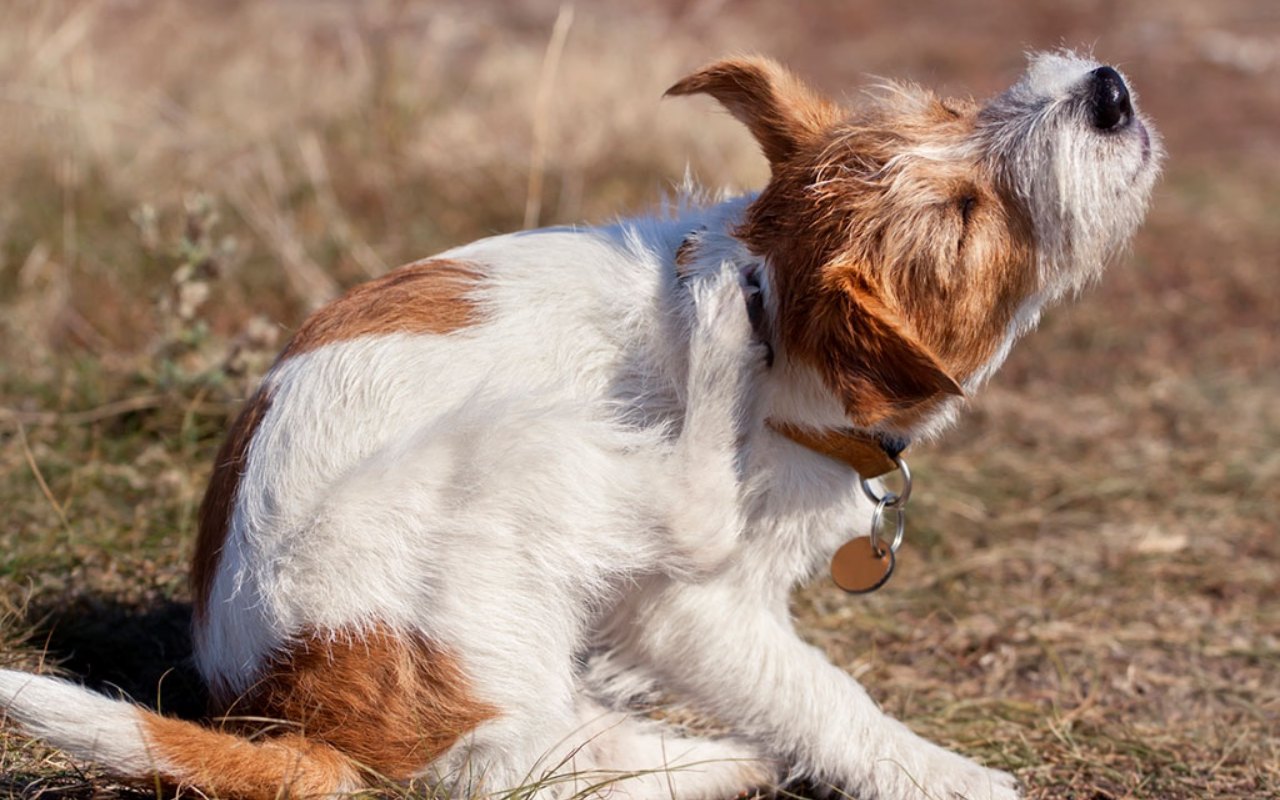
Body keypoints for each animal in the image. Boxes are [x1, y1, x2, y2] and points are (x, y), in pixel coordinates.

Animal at [0, 51, 1162, 798]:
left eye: (953, 107)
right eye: (966, 217)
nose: (1106, 91)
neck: (788, 330)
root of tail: (297, 714)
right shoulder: (696, 611)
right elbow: (819, 693)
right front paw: (943, 772)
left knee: (540, 748)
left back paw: (707, 762)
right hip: (518, 447)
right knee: (515, 755)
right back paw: (713, 334)